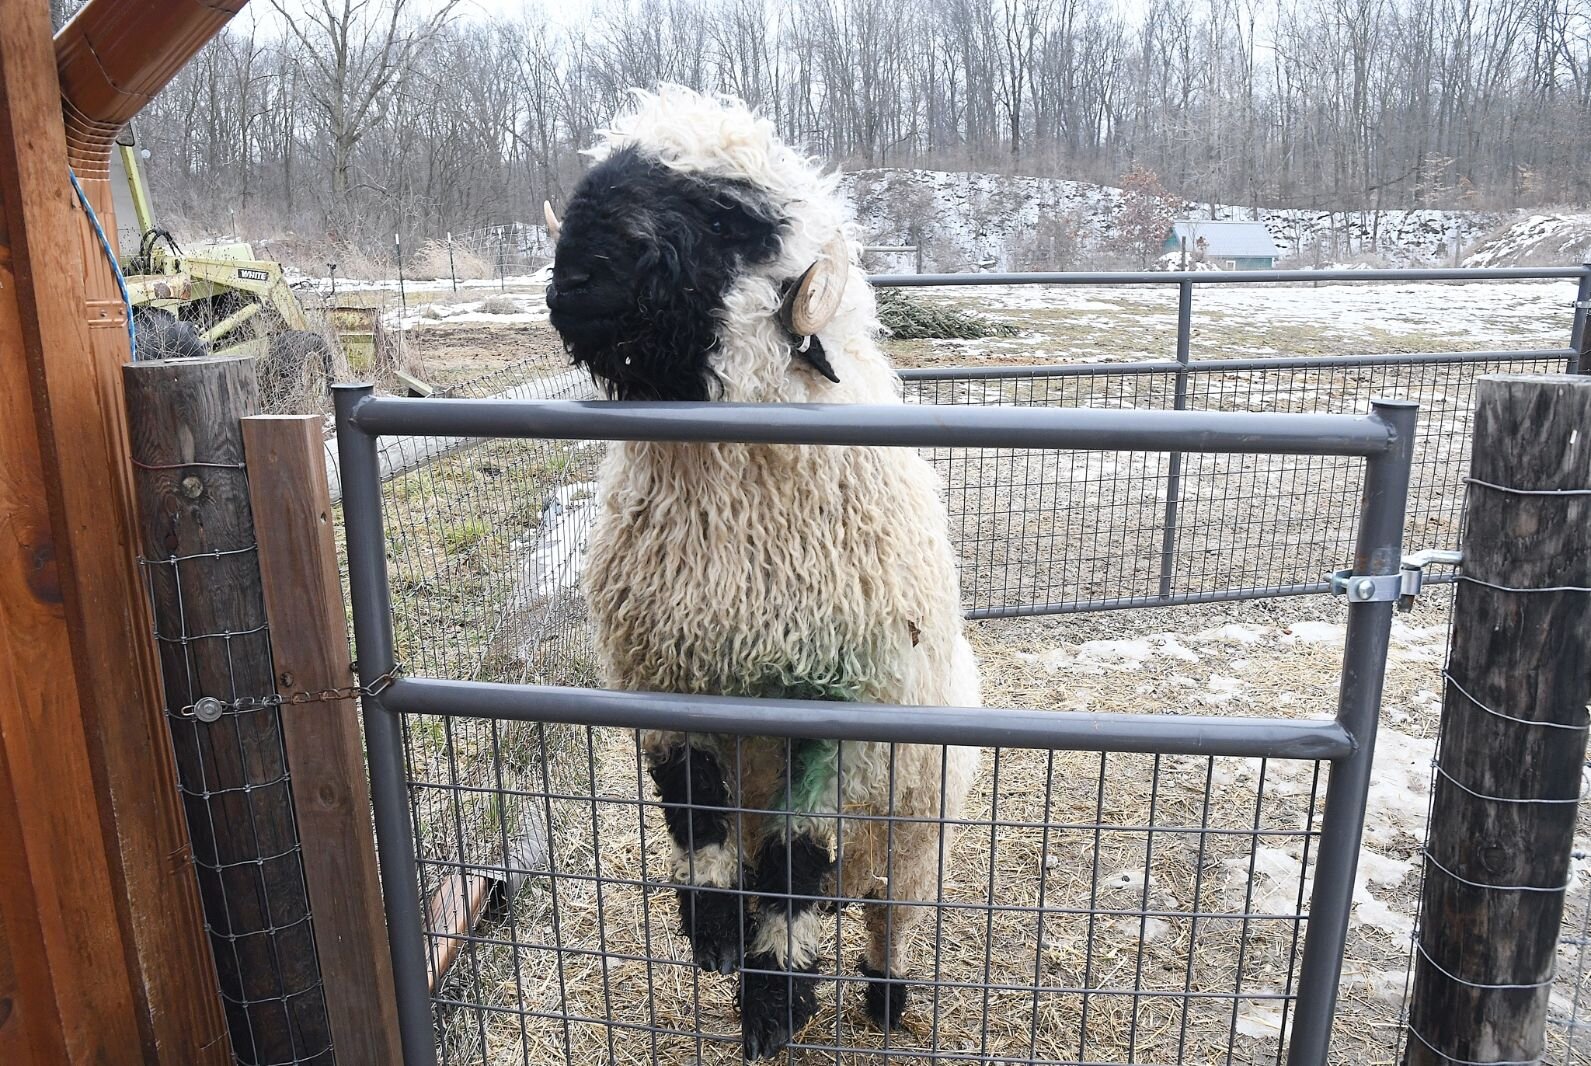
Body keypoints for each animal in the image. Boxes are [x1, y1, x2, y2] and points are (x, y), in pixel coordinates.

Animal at [544, 85, 982, 1060]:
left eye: (726, 216)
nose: (577, 279)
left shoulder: (840, 715)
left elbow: (793, 864)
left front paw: (775, 1003)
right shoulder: (669, 683)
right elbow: (697, 822)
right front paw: (711, 932)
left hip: (913, 835)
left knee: (887, 918)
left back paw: (885, 998)